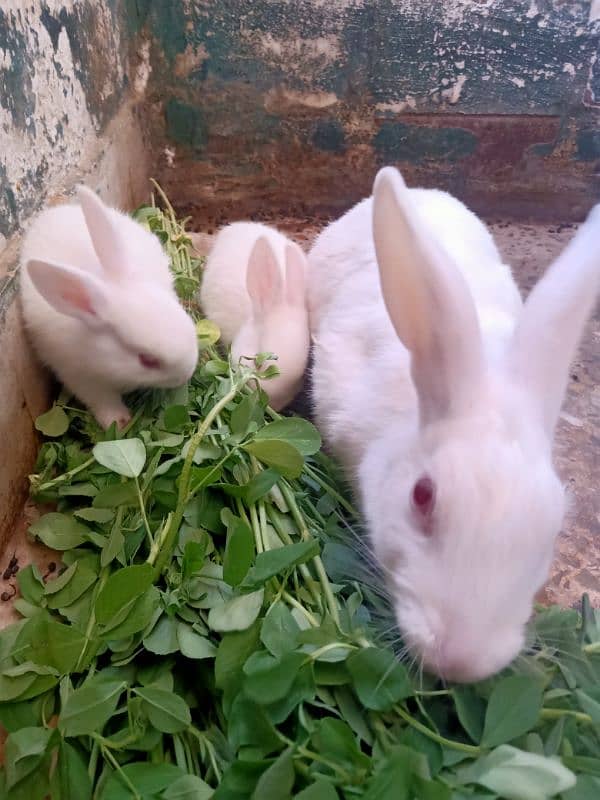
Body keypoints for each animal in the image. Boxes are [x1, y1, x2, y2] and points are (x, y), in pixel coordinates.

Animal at [19, 186, 198, 432]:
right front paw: (120, 423)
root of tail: (48, 215)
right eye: (147, 360)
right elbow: (103, 401)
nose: (187, 374)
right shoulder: (81, 378)